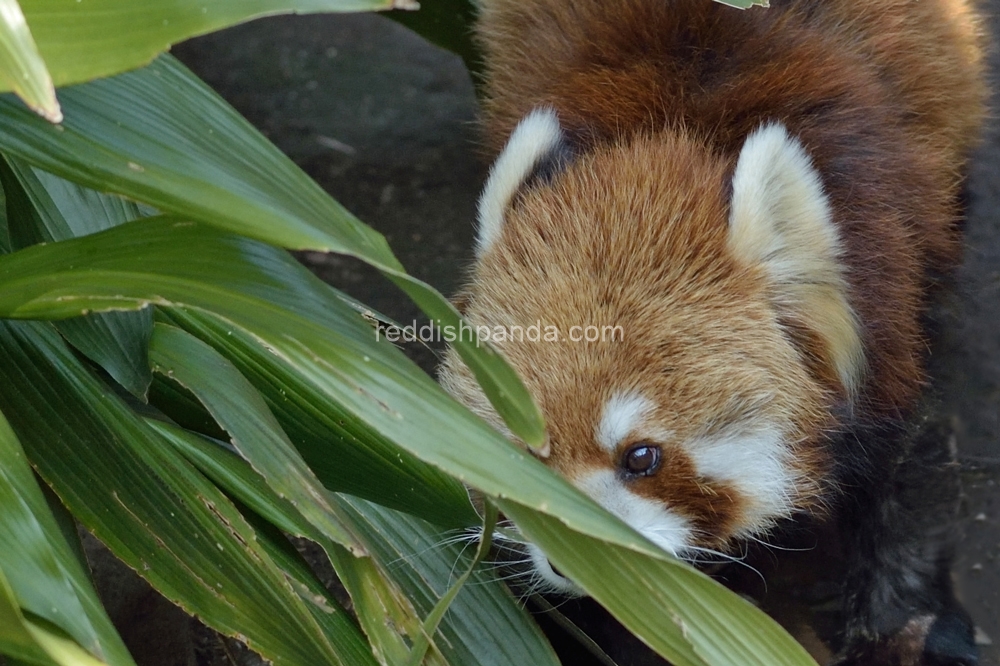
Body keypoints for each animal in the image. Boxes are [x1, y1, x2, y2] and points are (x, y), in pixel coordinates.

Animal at [440, 1, 992, 660]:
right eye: (525, 452)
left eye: (642, 457)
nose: (572, 563)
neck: (675, 125)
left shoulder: (898, 294)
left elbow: (907, 476)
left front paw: (905, 626)